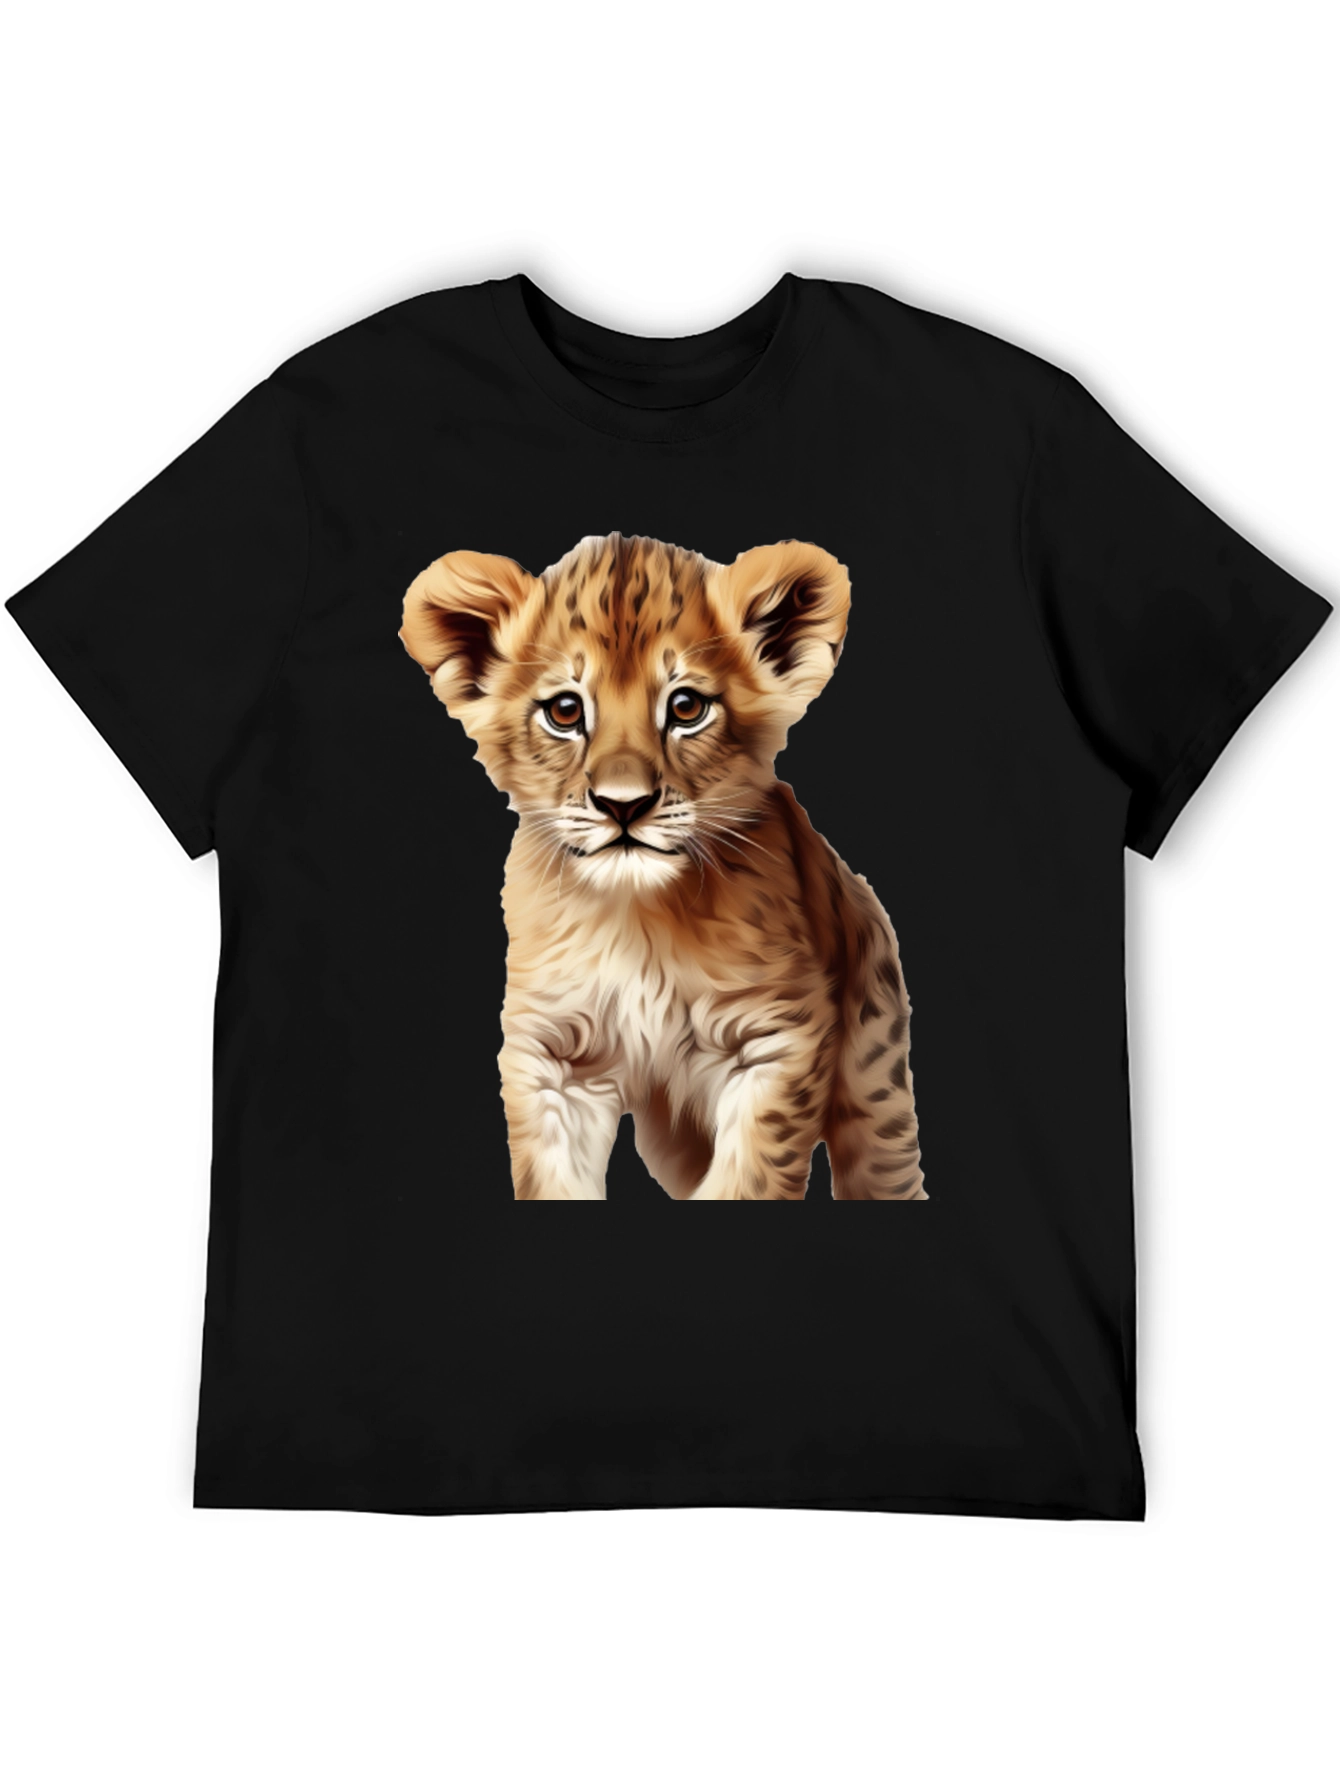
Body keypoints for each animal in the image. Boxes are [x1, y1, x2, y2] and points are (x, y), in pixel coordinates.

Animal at [399, 533, 925, 1202]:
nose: (623, 804)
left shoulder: (778, 1041)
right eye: (564, 711)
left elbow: (748, 1180)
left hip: (872, 1076)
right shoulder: (553, 1059)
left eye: (687, 707)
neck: (636, 921)